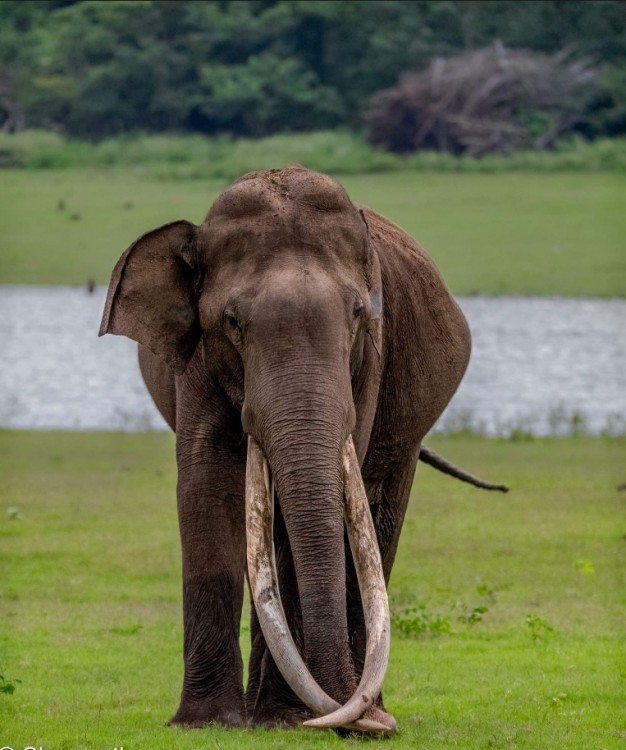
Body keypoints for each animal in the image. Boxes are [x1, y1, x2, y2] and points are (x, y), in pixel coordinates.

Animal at [100, 167, 504, 736]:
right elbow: (205, 482)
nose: (364, 722)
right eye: (231, 321)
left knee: (378, 518)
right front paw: (208, 723)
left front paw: (289, 719)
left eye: (357, 314)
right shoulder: (197, 355)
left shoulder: (370, 360)